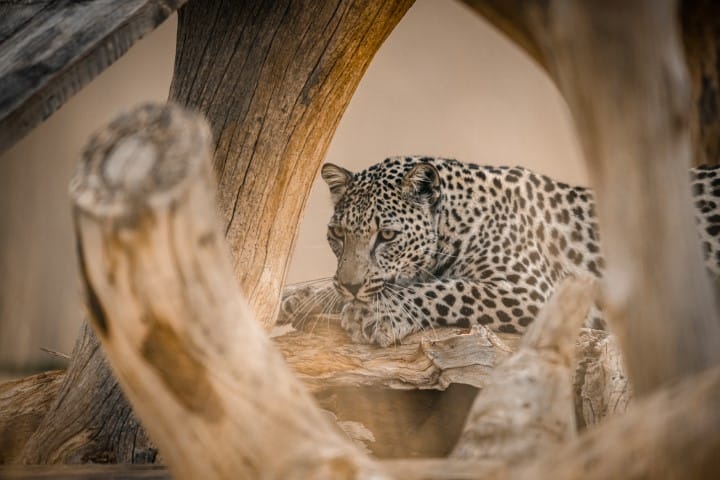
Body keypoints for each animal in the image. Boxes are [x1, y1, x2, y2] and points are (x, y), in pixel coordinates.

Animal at [280, 156, 720, 347]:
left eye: (386, 235)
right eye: (338, 234)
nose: (351, 287)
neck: (456, 221)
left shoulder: (537, 290)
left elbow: (452, 288)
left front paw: (377, 314)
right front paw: (303, 296)